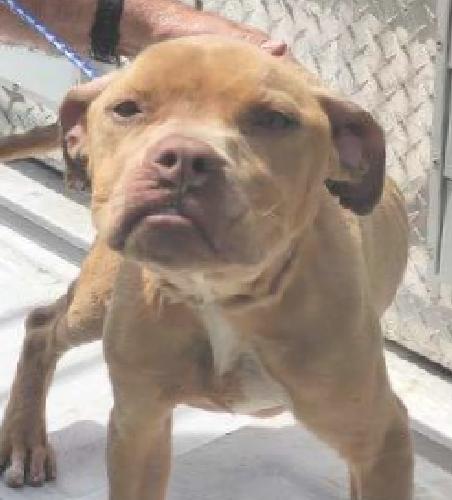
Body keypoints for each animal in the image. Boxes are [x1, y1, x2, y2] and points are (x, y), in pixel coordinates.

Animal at [0, 36, 413, 499]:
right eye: (126, 108)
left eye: (275, 119)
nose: (183, 157)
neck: (218, 293)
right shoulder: (138, 427)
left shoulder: (380, 441)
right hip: (96, 303)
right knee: (42, 325)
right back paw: (25, 440)